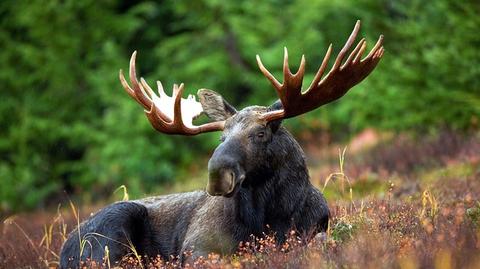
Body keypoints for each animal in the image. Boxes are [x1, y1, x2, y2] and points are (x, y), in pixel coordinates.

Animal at [60, 19, 384, 266]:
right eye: (221, 136)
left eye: (260, 133)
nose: (217, 175)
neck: (271, 217)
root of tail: (65, 248)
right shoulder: (197, 247)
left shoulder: (315, 229)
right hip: (111, 228)